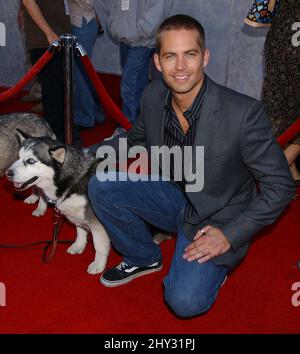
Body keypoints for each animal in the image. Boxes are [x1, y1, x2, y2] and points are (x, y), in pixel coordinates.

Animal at [6, 133, 110, 274]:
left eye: (31, 161)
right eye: (18, 157)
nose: (8, 173)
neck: (71, 181)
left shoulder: (96, 222)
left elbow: (99, 246)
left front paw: (98, 264)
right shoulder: (78, 216)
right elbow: (80, 231)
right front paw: (78, 245)